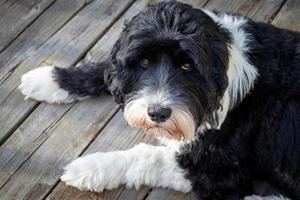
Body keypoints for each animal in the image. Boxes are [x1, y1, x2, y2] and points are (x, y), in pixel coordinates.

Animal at [18, 0, 300, 199]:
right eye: (144, 61)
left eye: (188, 66)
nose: (157, 113)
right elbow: (105, 68)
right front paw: (48, 80)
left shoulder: (215, 170)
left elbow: (147, 156)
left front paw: (90, 167)